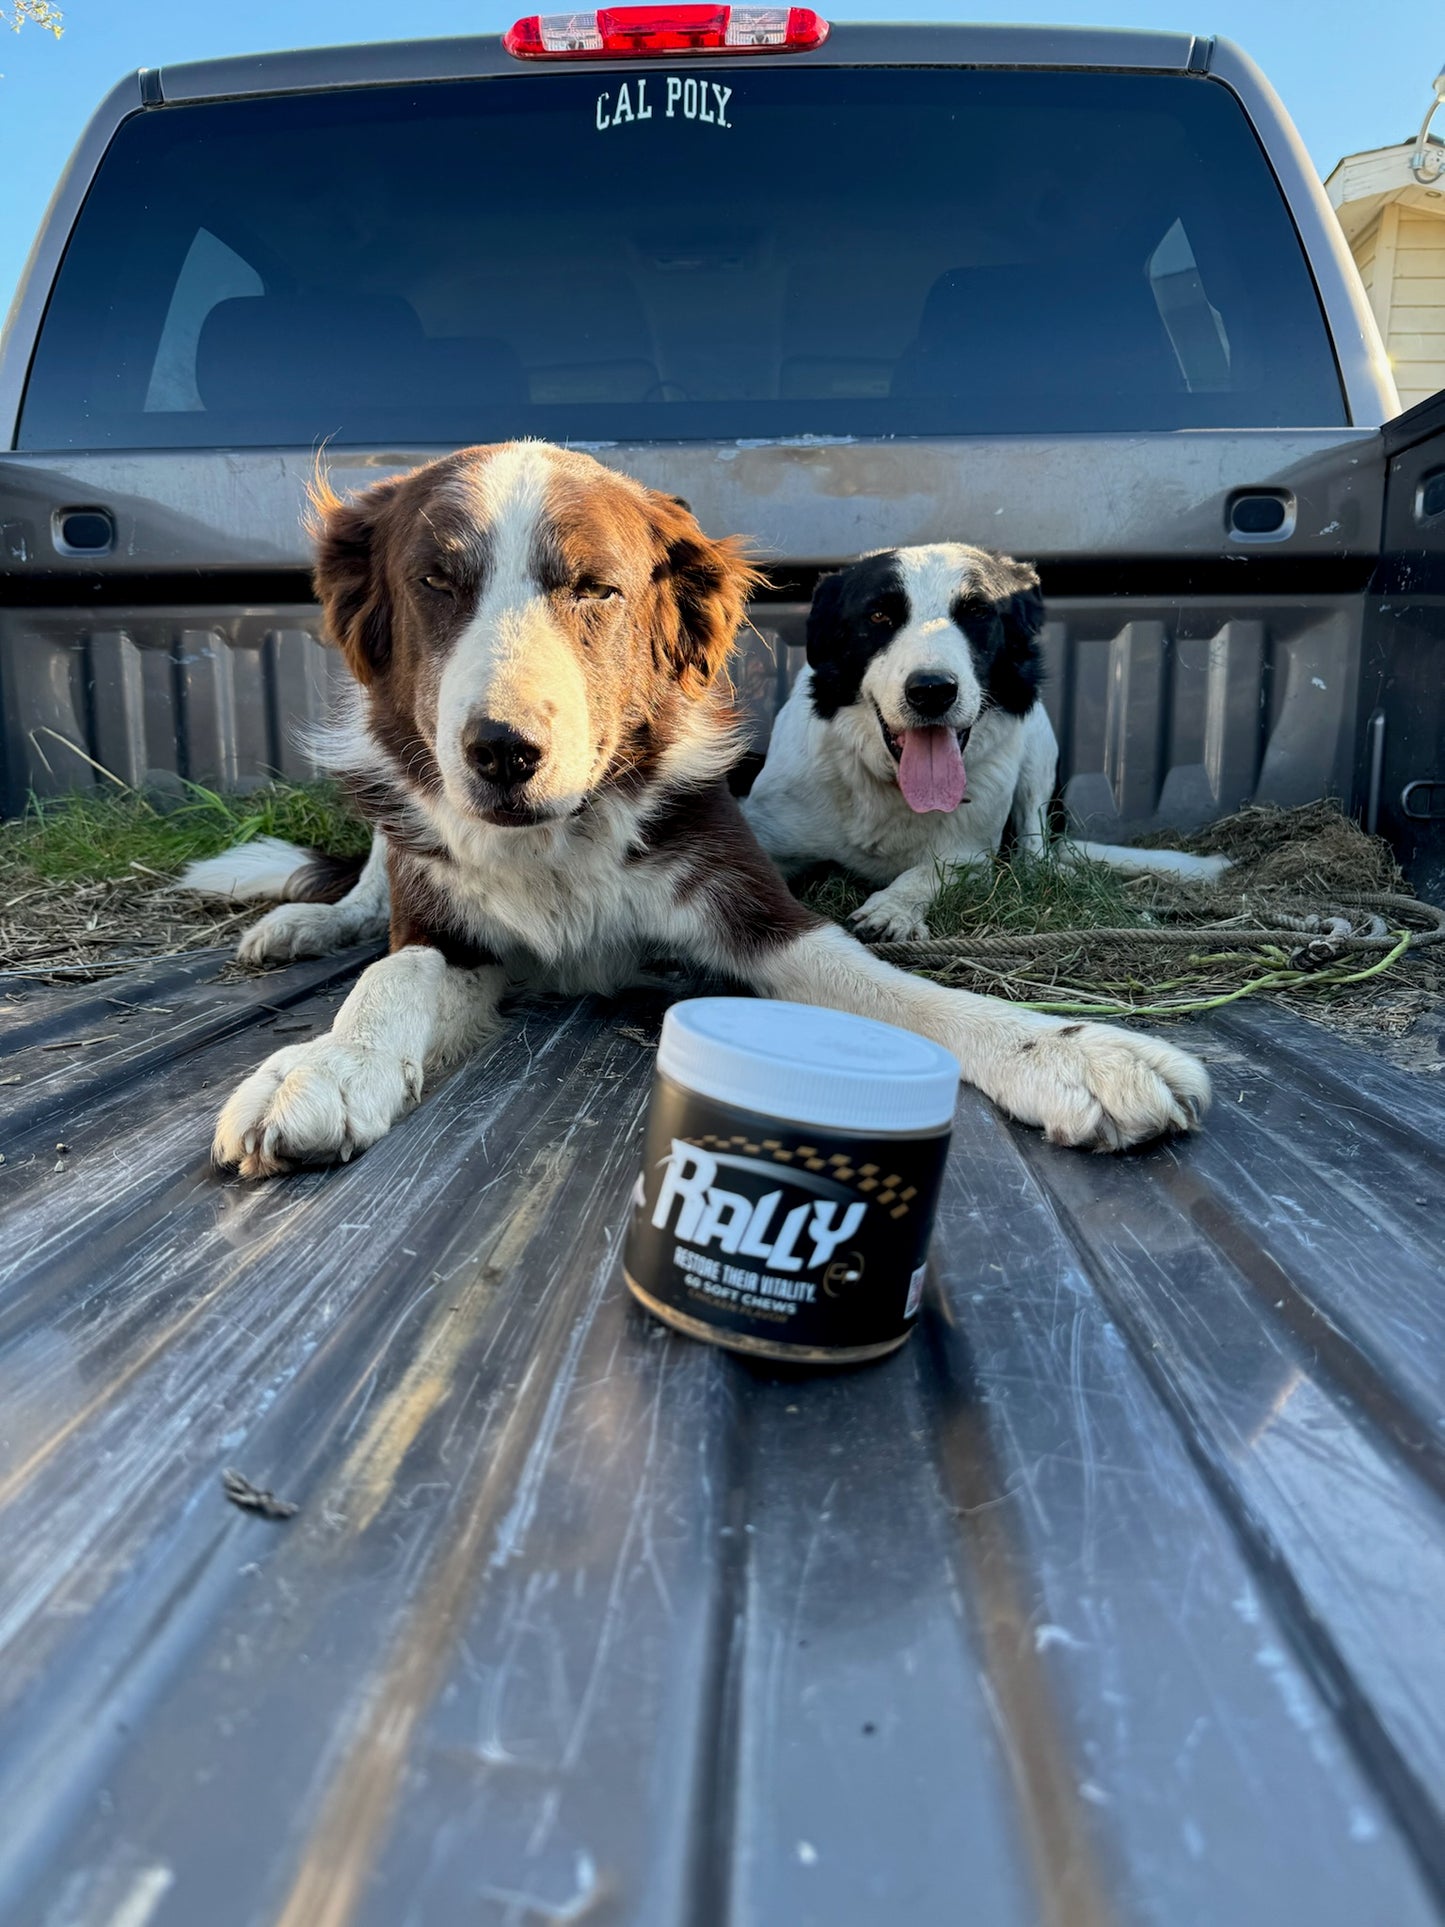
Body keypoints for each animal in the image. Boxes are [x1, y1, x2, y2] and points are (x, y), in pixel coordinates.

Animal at [747, 543, 1233, 940]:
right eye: (879, 616)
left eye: (978, 613)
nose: (932, 691)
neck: (889, 787)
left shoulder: (970, 854)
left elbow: (926, 874)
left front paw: (892, 909)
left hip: (1038, 739)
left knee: (1038, 852)